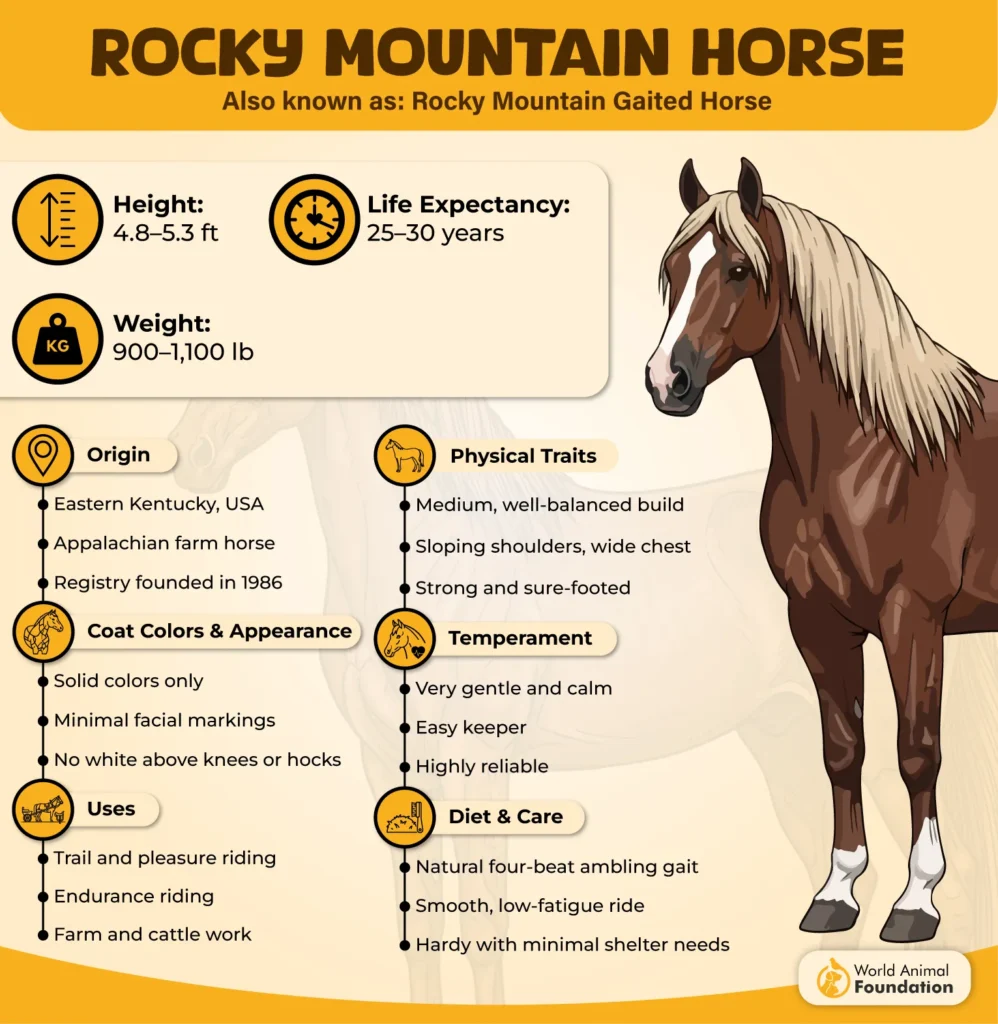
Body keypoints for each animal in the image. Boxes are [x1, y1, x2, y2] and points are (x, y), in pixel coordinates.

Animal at [646, 157, 998, 944]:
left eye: (738, 269)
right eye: (673, 270)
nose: (665, 382)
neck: (873, 450)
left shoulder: (912, 619)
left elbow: (915, 751)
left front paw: (915, 902)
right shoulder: (816, 621)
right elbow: (844, 749)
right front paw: (837, 892)